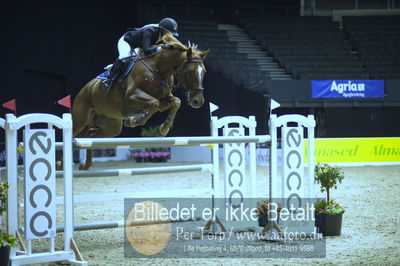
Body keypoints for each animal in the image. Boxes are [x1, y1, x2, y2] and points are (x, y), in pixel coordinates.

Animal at [72, 33, 209, 169]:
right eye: (189, 72)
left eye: (204, 72)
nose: (198, 101)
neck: (158, 69)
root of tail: (86, 88)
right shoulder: (131, 96)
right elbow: (154, 103)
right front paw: (134, 120)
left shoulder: (164, 99)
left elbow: (175, 102)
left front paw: (163, 129)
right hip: (80, 120)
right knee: (75, 134)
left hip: (111, 127)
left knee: (90, 136)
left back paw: (85, 165)